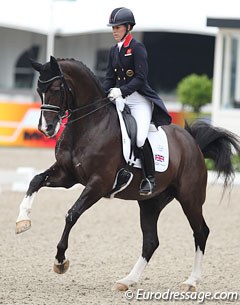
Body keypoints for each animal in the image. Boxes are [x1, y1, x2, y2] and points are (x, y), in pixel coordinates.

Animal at [15, 55, 239, 290]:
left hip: (190, 199)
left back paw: (191, 281)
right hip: (150, 203)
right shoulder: (67, 176)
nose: (46, 128)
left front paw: (60, 261)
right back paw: (127, 280)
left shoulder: (98, 183)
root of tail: (193, 143)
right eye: (39, 89)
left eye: (57, 88)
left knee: (201, 232)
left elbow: (72, 214)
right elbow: (35, 180)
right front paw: (22, 221)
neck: (88, 126)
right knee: (151, 241)